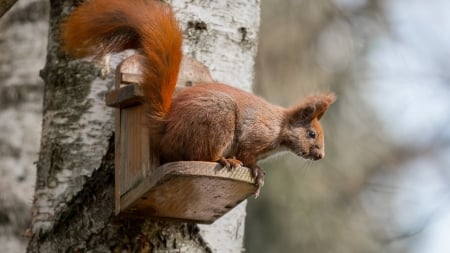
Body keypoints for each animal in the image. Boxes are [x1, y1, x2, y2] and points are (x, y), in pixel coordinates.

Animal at [61, 0, 336, 197]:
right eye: (312, 134)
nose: (320, 156)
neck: (279, 131)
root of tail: (166, 128)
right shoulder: (256, 134)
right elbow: (248, 154)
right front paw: (256, 171)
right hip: (217, 120)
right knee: (203, 154)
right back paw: (225, 159)